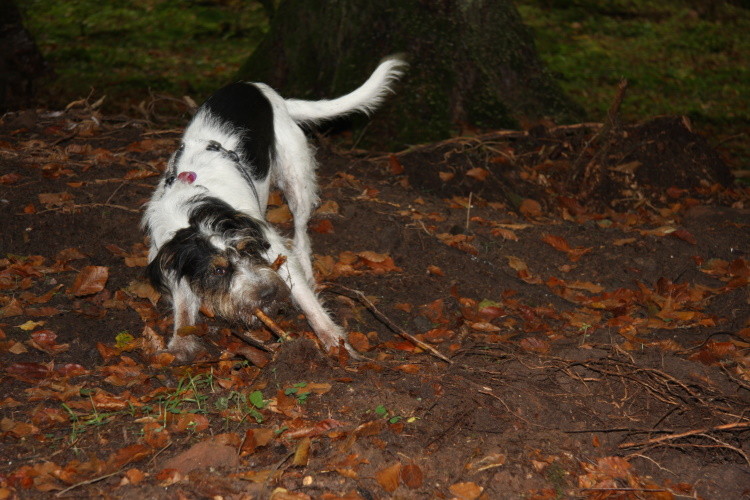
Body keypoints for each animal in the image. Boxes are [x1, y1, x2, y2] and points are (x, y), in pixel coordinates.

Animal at [144, 56, 408, 362]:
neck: (191, 211)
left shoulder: (270, 243)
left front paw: (333, 339)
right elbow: (184, 304)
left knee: (301, 232)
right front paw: (180, 342)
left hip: (296, 178)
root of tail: (264, 89)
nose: (268, 293)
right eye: (218, 271)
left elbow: (306, 297)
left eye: (248, 250)